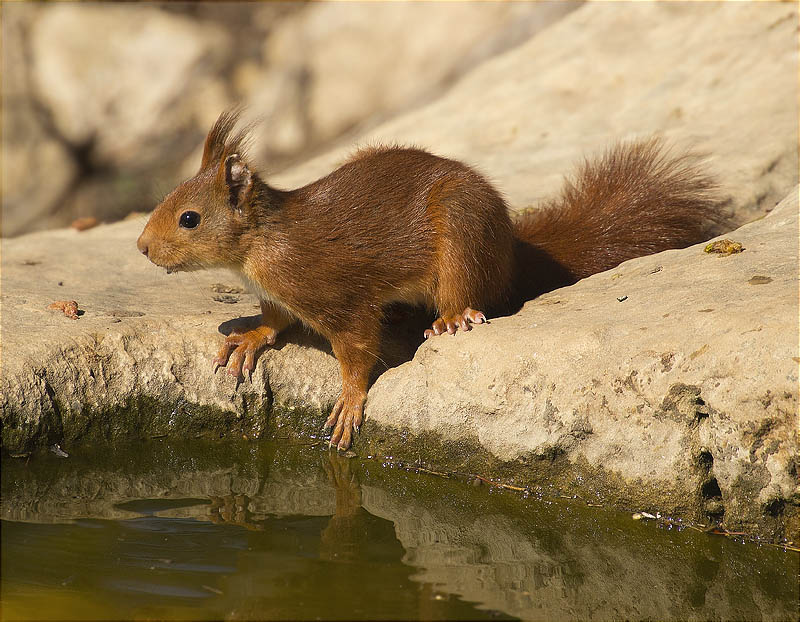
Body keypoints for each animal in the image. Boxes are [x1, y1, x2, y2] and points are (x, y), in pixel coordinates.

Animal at [138, 111, 724, 448]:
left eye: (189, 218)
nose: (142, 247)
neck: (259, 248)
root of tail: (511, 246)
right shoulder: (278, 295)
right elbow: (274, 320)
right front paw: (248, 339)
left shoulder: (336, 294)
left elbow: (357, 348)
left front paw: (349, 401)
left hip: (462, 230)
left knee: (467, 290)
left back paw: (451, 318)